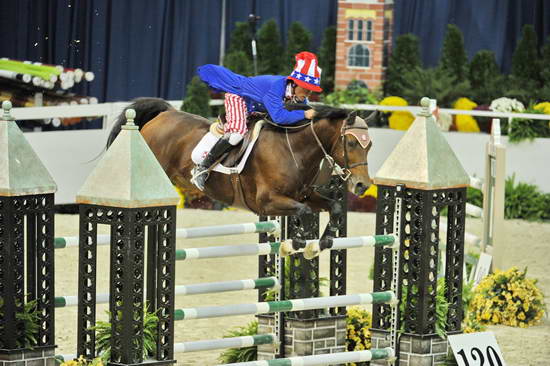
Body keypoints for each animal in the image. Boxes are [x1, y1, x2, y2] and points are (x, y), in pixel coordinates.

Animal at [106, 98, 378, 254]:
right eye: (351, 143)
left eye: (370, 145)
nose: (362, 185)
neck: (295, 149)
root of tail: (164, 114)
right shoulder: (267, 202)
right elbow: (303, 212)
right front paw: (294, 244)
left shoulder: (305, 194)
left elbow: (334, 207)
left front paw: (320, 245)